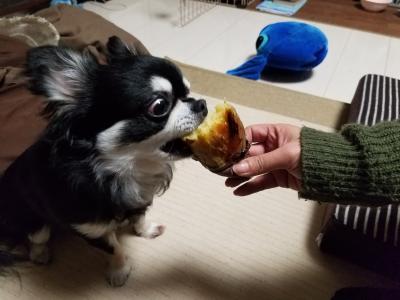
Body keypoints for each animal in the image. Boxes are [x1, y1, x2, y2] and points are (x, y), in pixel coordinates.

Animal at [0, 35, 208, 286]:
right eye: (159, 106)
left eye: (188, 91)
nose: (201, 103)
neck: (123, 169)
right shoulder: (91, 230)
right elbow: (114, 248)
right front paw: (119, 270)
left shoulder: (140, 199)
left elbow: (139, 218)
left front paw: (146, 231)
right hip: (32, 218)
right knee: (36, 238)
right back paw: (40, 255)